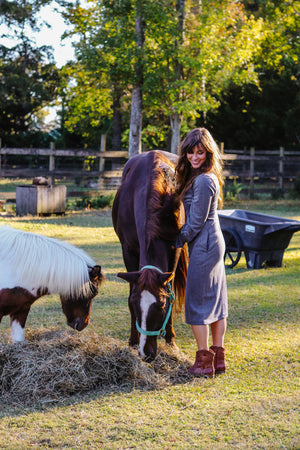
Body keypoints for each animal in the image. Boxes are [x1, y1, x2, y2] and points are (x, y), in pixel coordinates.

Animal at [112, 151, 188, 362]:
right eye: (135, 305)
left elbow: (170, 290)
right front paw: (132, 341)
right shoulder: (128, 250)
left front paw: (170, 341)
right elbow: (131, 290)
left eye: (161, 306)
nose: (146, 353)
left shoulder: (175, 249)